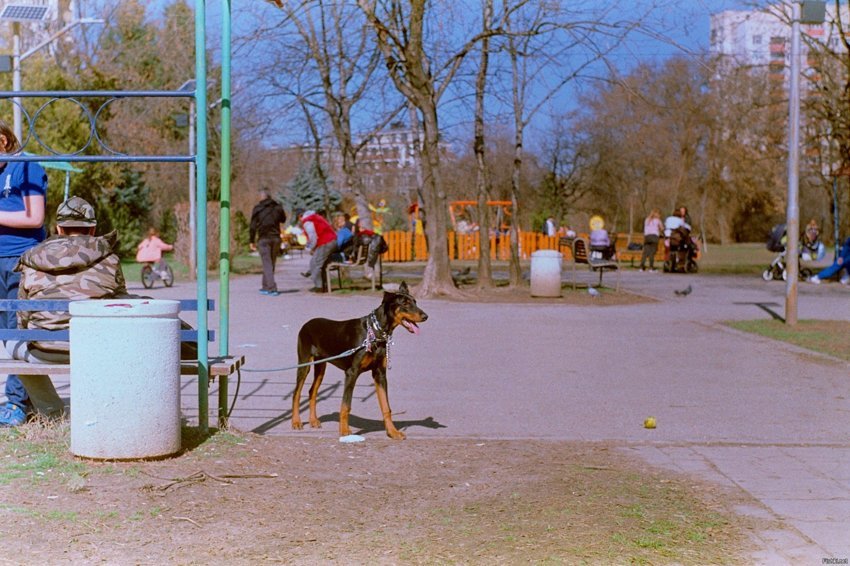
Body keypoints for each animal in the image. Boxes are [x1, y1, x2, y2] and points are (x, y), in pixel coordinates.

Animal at [292, 282, 428, 442]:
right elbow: (346, 405)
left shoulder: (380, 374)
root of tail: (306, 324)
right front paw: (344, 431)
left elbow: (386, 407)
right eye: (405, 303)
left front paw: (392, 432)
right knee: (296, 393)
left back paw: (313, 420)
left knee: (312, 391)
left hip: (321, 366)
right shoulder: (352, 372)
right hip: (304, 363)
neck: (375, 332)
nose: (425, 316)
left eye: (415, 302)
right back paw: (296, 422)